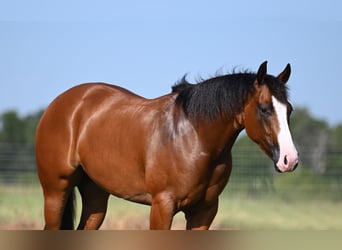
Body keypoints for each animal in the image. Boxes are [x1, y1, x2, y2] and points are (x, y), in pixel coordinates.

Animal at [34, 61, 296, 229]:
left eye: (289, 110)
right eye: (264, 109)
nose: (290, 159)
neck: (194, 138)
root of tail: (62, 103)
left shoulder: (204, 211)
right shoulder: (162, 206)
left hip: (96, 196)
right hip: (56, 191)